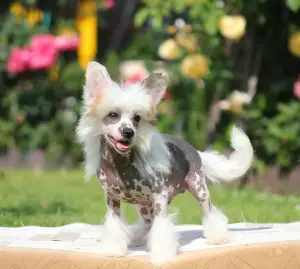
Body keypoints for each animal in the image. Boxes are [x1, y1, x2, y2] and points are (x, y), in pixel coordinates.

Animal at [75, 61, 253, 264]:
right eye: (112, 115)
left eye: (136, 118)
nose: (128, 132)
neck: (122, 165)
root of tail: (193, 149)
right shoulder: (112, 200)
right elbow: (115, 226)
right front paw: (113, 250)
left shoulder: (159, 198)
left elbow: (161, 229)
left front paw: (161, 256)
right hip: (143, 206)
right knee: (147, 224)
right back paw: (139, 237)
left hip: (198, 187)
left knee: (209, 212)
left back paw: (218, 236)